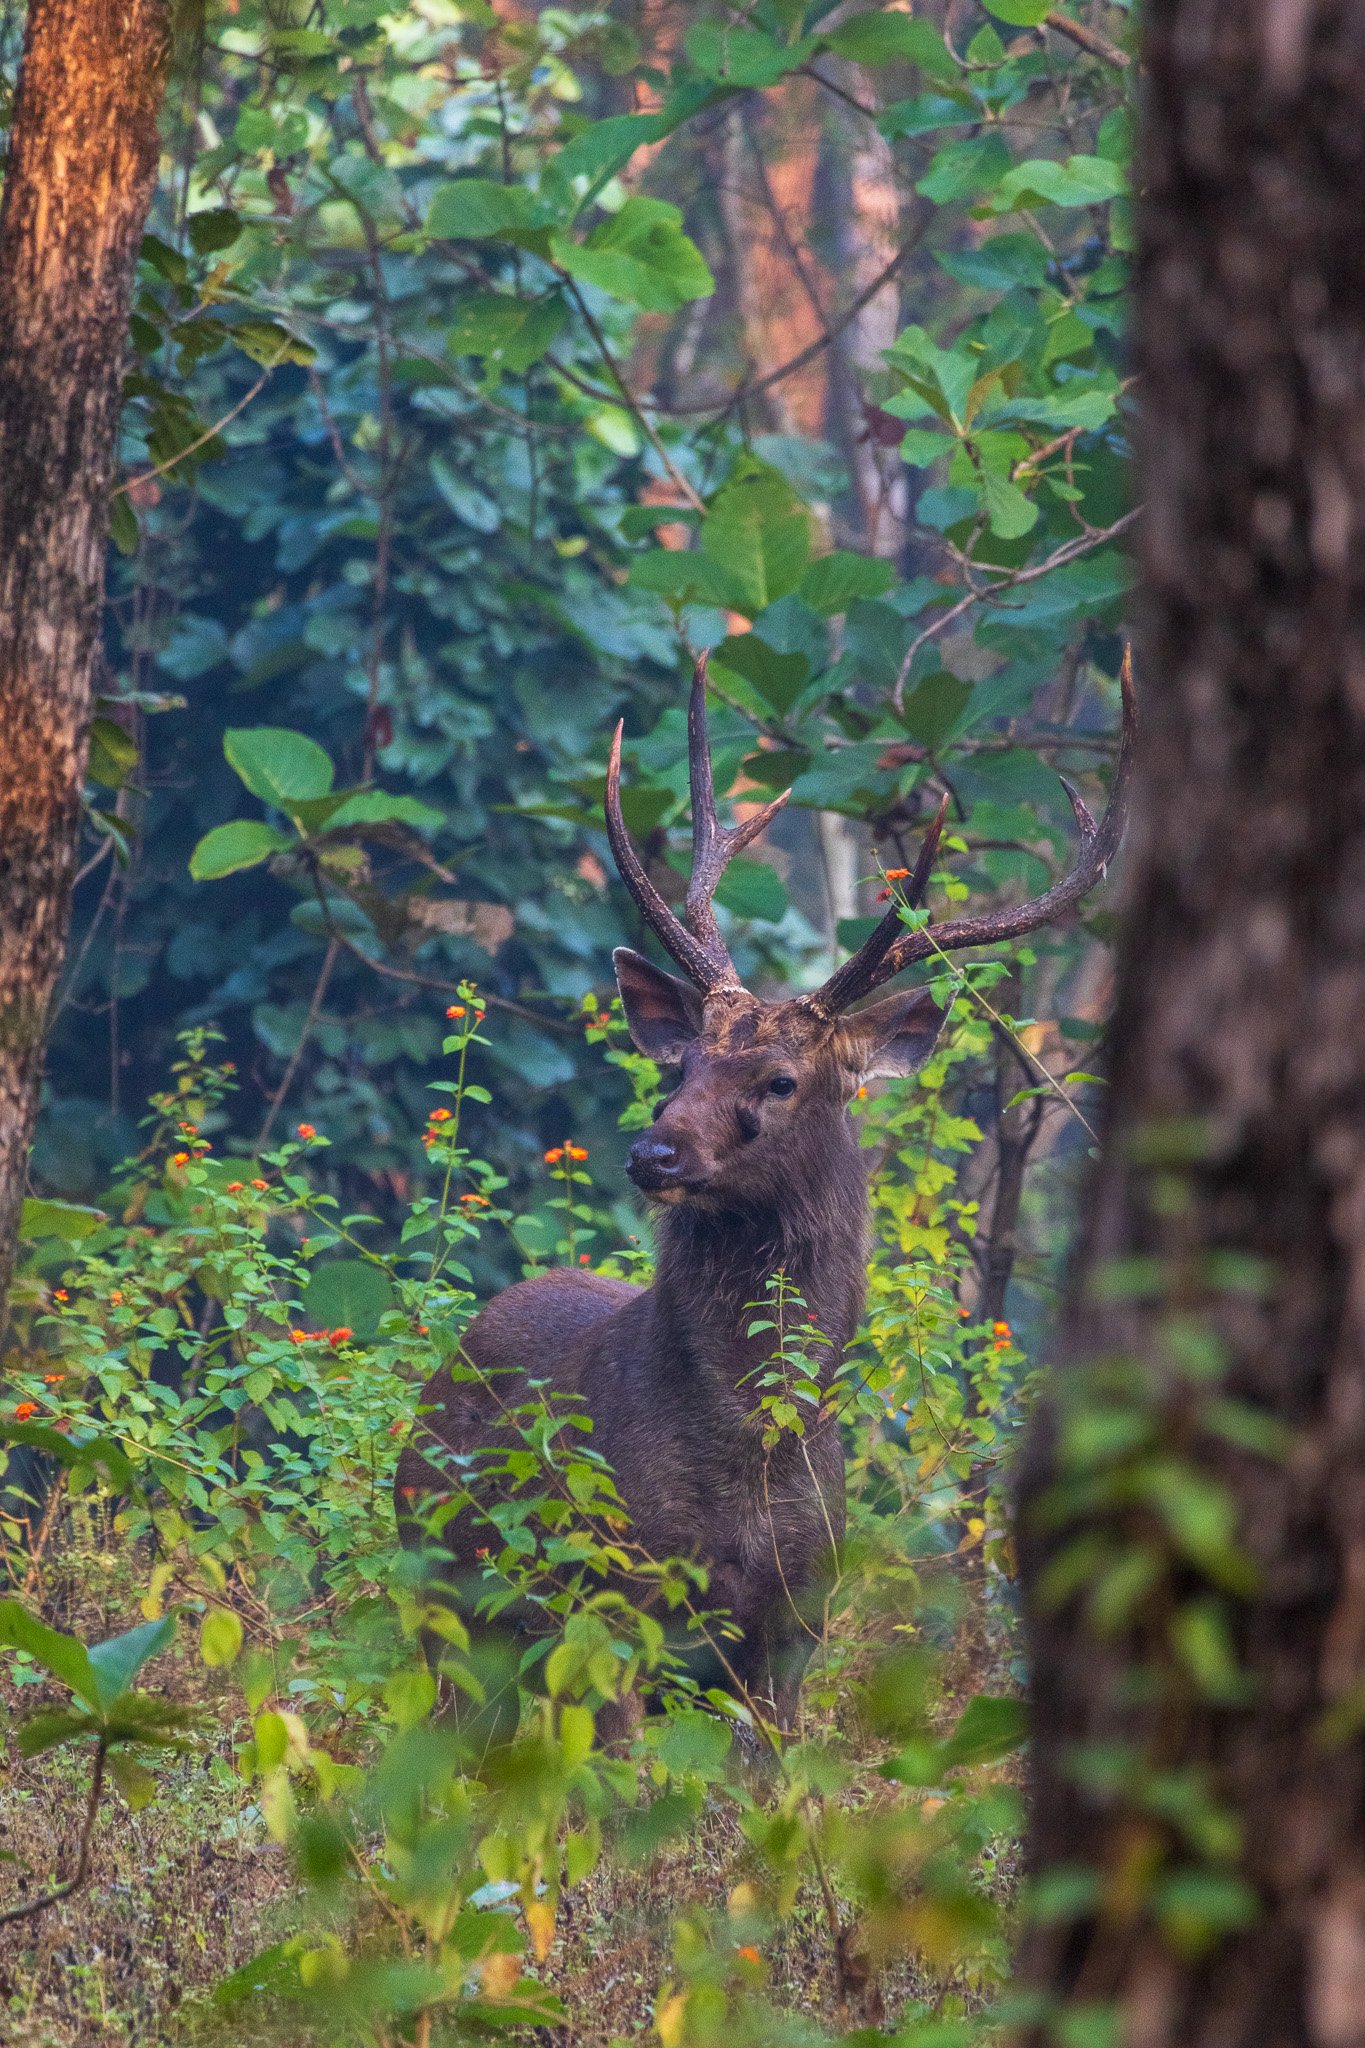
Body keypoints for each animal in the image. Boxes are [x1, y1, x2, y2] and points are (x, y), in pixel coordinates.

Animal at [392, 651, 1129, 1728]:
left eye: (780, 1080)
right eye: (681, 1062)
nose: (653, 1153)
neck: (745, 1462)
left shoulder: (793, 1625)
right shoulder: (609, 1596)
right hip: (444, 1584)